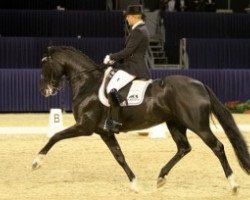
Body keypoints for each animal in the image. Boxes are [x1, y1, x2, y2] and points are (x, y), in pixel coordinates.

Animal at [32, 46, 249, 193]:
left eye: (44, 64)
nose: (43, 91)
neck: (88, 84)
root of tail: (200, 84)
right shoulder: (105, 133)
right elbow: (119, 157)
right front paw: (135, 184)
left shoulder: (84, 127)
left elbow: (55, 137)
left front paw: (36, 162)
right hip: (175, 124)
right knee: (184, 148)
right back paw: (161, 177)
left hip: (198, 125)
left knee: (218, 147)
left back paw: (233, 184)